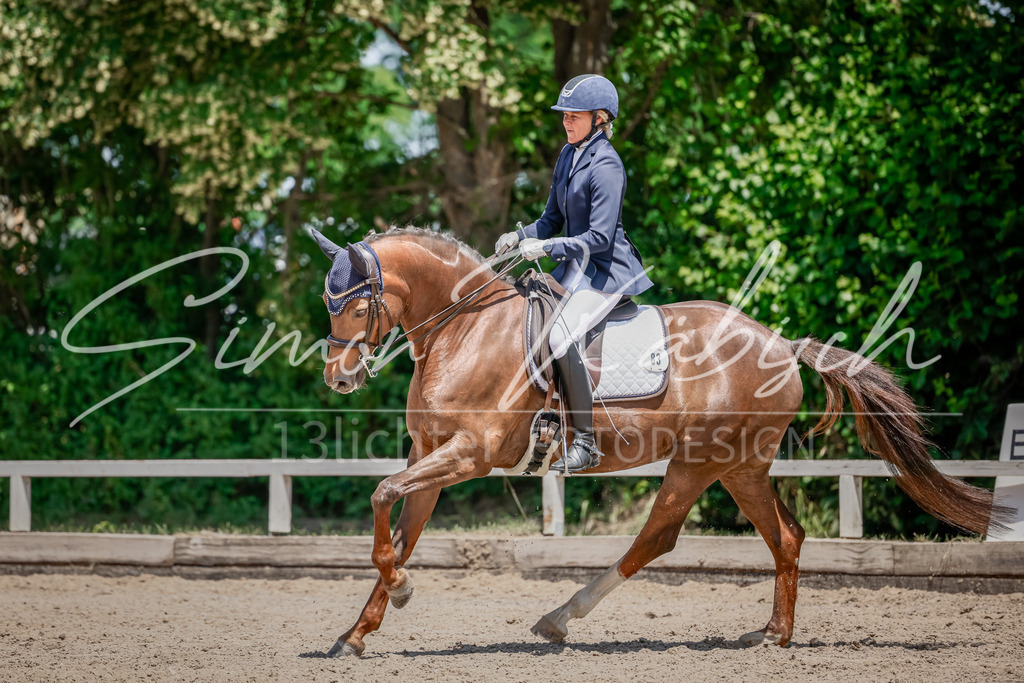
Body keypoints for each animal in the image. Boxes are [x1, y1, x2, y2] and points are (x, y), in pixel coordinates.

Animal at [311, 226, 1007, 657]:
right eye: (328, 301)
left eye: (356, 305)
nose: (339, 378)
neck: (464, 330)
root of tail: (780, 345)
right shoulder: (429, 455)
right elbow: (400, 530)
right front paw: (358, 632)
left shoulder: (468, 455)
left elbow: (380, 497)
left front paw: (401, 591)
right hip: (740, 468)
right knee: (786, 536)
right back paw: (773, 634)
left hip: (701, 461)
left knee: (660, 535)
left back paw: (563, 618)